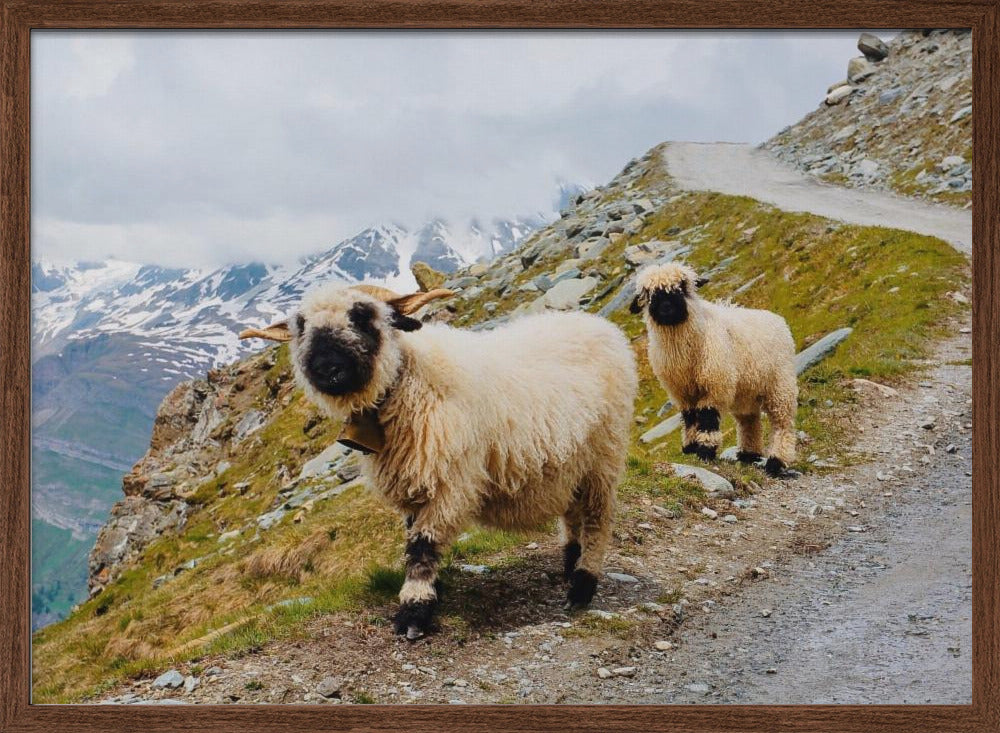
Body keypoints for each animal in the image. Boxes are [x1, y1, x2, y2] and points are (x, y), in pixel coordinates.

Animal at [240, 284, 640, 636]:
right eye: (300, 327)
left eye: (362, 315)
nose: (326, 369)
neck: (406, 381)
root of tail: (598, 325)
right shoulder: (415, 486)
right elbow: (413, 540)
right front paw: (430, 593)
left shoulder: (450, 483)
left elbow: (422, 546)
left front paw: (414, 612)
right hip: (570, 463)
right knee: (573, 515)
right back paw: (570, 563)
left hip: (604, 454)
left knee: (597, 520)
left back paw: (582, 586)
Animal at [628, 262, 800, 474]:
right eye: (648, 293)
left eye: (682, 286)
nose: (666, 307)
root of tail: (778, 320)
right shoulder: (682, 392)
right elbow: (690, 418)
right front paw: (690, 447)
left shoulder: (715, 384)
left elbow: (707, 418)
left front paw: (705, 450)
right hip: (746, 392)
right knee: (749, 421)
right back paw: (748, 455)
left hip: (780, 385)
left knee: (782, 424)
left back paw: (776, 462)